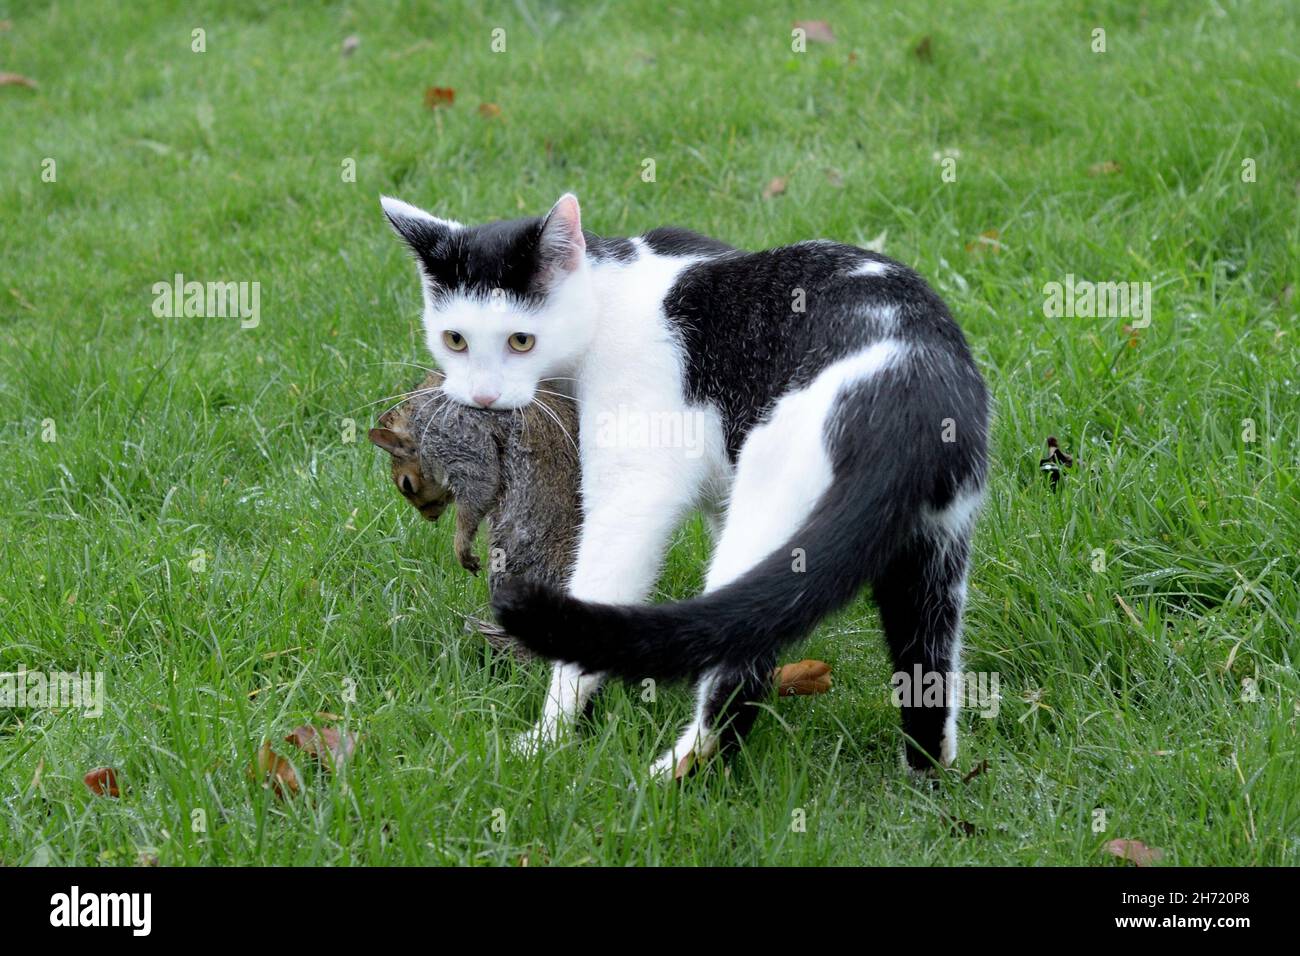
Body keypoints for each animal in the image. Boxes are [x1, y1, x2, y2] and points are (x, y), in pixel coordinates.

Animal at [379, 188, 987, 780]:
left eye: (521, 341)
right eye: (455, 339)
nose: (482, 397)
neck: (608, 294)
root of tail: (908, 387)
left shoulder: (636, 489)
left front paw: (548, 739)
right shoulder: (721, 494)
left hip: (773, 503)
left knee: (741, 666)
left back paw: (666, 778)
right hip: (932, 551)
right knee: (926, 668)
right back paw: (927, 775)